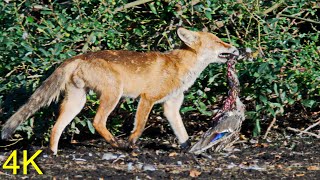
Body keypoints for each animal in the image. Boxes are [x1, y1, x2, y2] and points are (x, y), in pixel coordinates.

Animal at [1, 27, 238, 154]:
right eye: (219, 41)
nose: (236, 49)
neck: (179, 66)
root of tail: (79, 56)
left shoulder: (171, 106)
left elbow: (182, 133)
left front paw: (190, 150)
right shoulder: (148, 98)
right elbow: (140, 126)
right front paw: (132, 145)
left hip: (77, 101)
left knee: (57, 127)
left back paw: (53, 153)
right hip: (113, 94)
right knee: (97, 122)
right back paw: (116, 144)